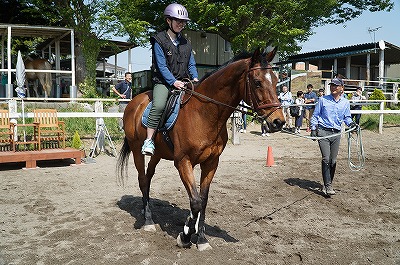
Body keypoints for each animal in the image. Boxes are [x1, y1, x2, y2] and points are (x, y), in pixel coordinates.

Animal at [115, 47, 284, 250]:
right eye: (258, 82)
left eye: (275, 80)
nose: (278, 121)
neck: (204, 114)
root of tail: (134, 102)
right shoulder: (183, 162)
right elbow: (195, 201)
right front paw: (185, 235)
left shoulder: (211, 163)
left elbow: (202, 201)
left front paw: (201, 238)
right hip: (136, 150)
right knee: (142, 179)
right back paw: (148, 221)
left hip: (158, 154)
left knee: (148, 178)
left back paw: (145, 209)